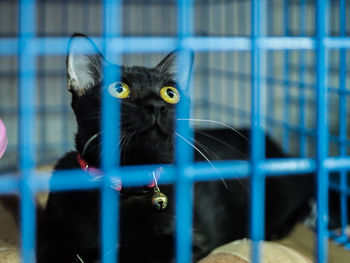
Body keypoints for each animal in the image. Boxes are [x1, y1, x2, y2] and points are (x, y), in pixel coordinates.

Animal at [36, 34, 314, 262]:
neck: (129, 184)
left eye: (170, 93)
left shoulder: (186, 241)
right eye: (119, 89)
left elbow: (137, 251)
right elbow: (55, 251)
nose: (157, 105)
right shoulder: (50, 232)